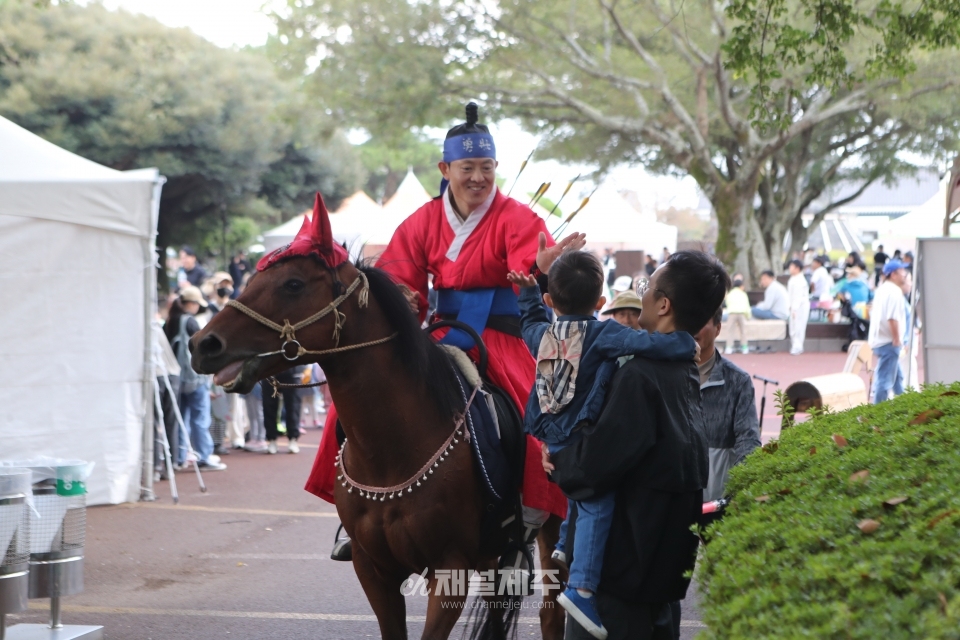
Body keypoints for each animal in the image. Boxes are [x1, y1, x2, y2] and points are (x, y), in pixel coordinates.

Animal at [190, 252, 568, 636]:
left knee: (552, 610)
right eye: (250, 280)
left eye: (293, 284)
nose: (203, 344)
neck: (392, 454)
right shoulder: (373, 569)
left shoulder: (450, 566)